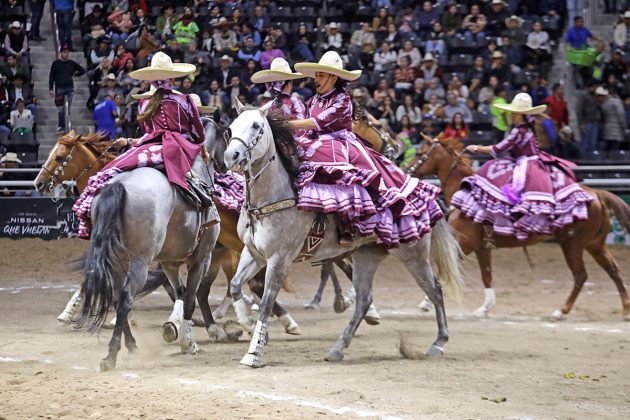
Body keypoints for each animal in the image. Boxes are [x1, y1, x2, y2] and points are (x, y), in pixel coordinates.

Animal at [76, 119, 222, 370]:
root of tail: (120, 185)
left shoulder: (169, 262)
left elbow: (181, 293)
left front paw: (177, 332)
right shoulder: (202, 258)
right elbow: (189, 299)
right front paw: (188, 343)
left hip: (118, 259)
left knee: (117, 297)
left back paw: (132, 345)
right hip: (140, 261)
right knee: (126, 298)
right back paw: (111, 355)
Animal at [225, 101, 466, 368]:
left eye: (256, 125)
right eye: (231, 126)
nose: (231, 156)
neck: (274, 196)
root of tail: (422, 189)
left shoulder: (279, 260)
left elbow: (266, 303)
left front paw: (254, 353)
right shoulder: (254, 254)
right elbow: (235, 285)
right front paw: (247, 323)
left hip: (414, 255)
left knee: (435, 289)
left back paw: (438, 343)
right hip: (367, 256)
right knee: (364, 299)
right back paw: (337, 348)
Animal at [410, 138, 630, 318]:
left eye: (420, 153)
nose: (408, 169)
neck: (462, 193)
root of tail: (598, 194)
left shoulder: (463, 244)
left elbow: (444, 270)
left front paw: (426, 302)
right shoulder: (482, 247)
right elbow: (487, 275)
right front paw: (485, 308)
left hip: (572, 245)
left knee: (580, 275)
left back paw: (561, 311)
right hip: (595, 244)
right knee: (614, 270)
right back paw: (625, 309)